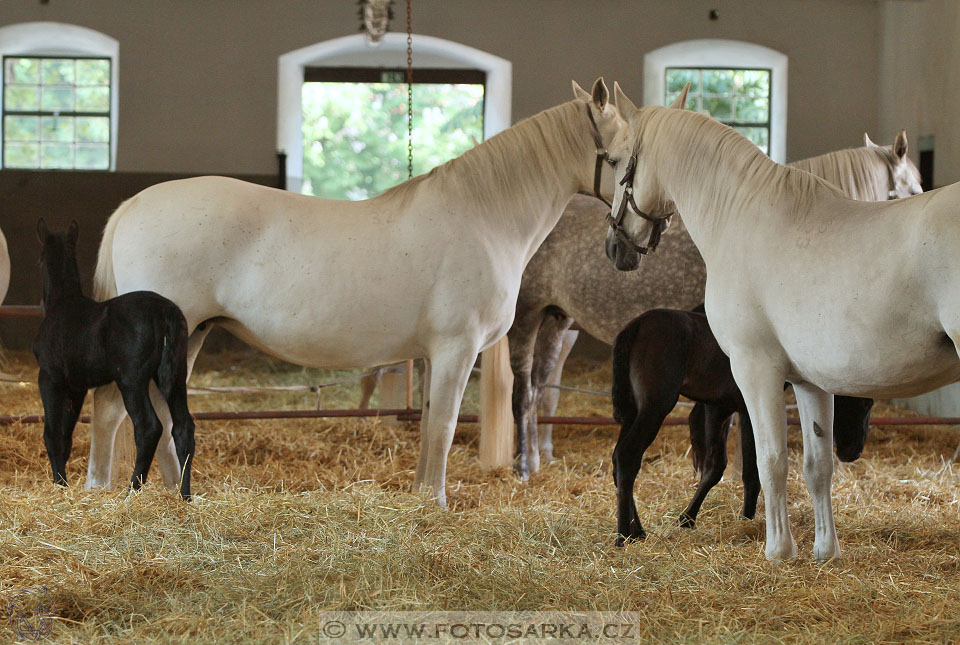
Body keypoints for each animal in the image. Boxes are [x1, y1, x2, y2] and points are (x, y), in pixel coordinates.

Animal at [32, 220, 196, 498]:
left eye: (40, 260)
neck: (63, 305)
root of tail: (165, 311)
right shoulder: (76, 387)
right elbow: (66, 435)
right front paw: (63, 482)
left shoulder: (50, 379)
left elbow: (52, 433)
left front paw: (60, 484)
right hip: (175, 376)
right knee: (183, 428)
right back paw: (184, 495)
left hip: (131, 381)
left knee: (149, 427)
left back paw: (132, 491)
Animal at [88, 79, 624, 504]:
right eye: (620, 156)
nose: (630, 240)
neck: (483, 217)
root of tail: (132, 205)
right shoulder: (457, 347)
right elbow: (445, 425)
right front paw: (435, 502)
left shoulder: (433, 354)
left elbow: (429, 423)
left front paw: (421, 495)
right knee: (116, 410)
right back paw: (104, 488)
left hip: (189, 336)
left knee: (153, 414)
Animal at [612, 306, 872, 544]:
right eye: (865, 403)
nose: (853, 452)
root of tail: (634, 327)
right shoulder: (746, 409)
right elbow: (750, 470)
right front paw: (746, 519)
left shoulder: (718, 408)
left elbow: (714, 467)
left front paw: (688, 519)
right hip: (654, 407)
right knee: (627, 456)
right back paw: (624, 535)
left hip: (633, 412)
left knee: (619, 460)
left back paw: (637, 530)